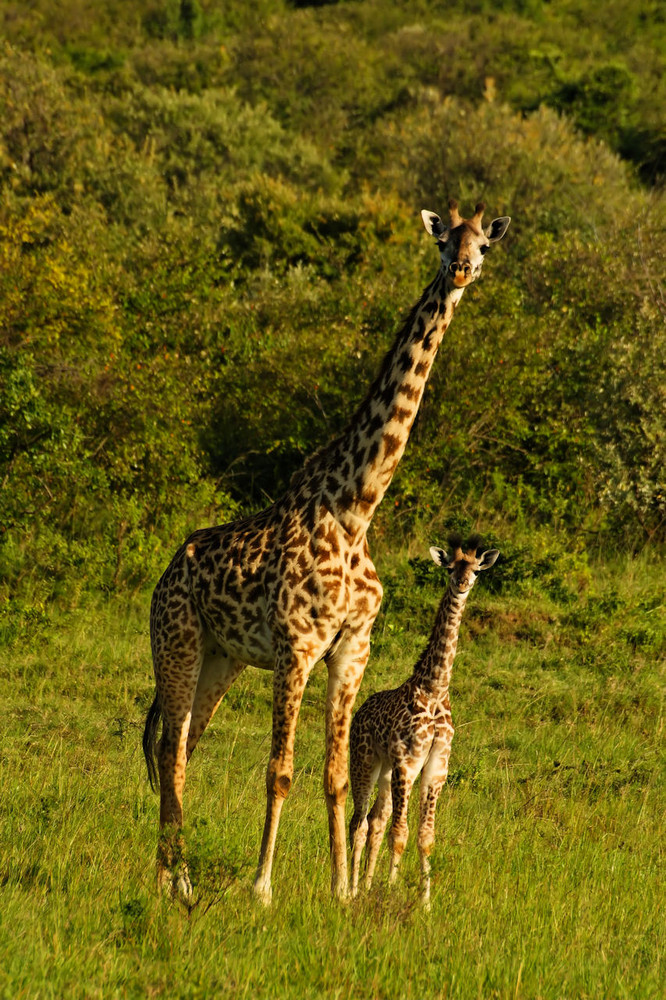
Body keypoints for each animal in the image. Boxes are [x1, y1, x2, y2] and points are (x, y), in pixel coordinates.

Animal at [350, 540, 496, 908]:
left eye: (475, 570)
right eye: (450, 568)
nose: (461, 584)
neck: (435, 687)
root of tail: (359, 712)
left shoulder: (434, 768)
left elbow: (425, 836)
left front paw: (426, 903)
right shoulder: (408, 762)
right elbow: (400, 833)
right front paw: (391, 889)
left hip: (386, 770)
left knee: (375, 820)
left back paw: (365, 886)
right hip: (366, 761)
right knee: (358, 822)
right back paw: (353, 888)